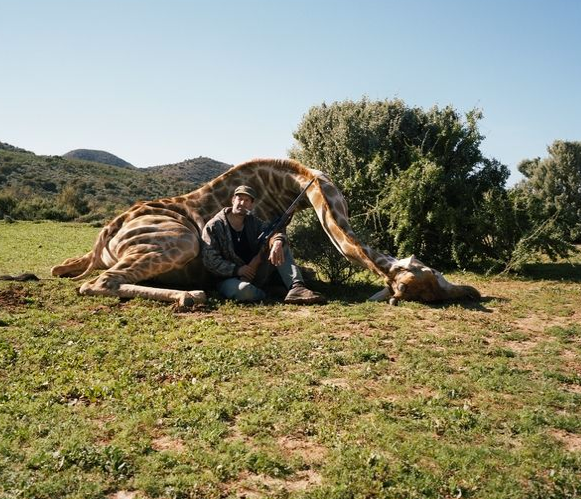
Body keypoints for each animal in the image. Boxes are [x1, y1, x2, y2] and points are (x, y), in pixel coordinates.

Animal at [52, 160, 478, 308]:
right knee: (98, 283)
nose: (472, 292)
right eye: (432, 273)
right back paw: (191, 296)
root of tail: (106, 234)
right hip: (181, 240)